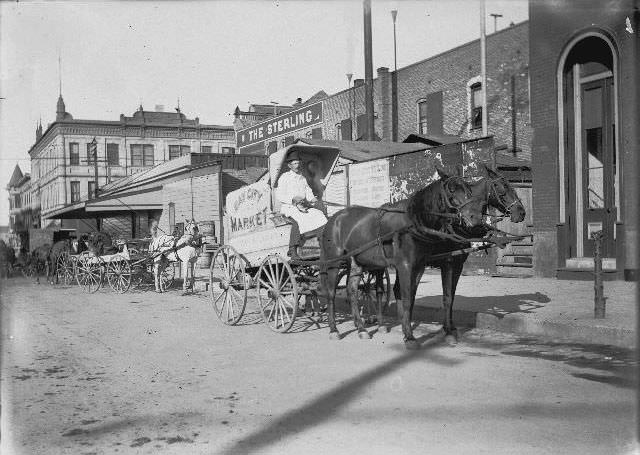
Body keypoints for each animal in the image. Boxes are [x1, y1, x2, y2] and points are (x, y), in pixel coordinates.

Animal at [320, 169, 490, 350]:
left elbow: (415, 298)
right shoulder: (408, 266)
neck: (413, 222)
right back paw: (333, 329)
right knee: (330, 293)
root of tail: (334, 220)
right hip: (333, 262)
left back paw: (361, 328)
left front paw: (408, 330)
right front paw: (409, 337)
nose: (475, 218)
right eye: (451, 190)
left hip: (357, 263)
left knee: (352, 291)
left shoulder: (419, 265)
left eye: (468, 190)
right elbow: (408, 298)